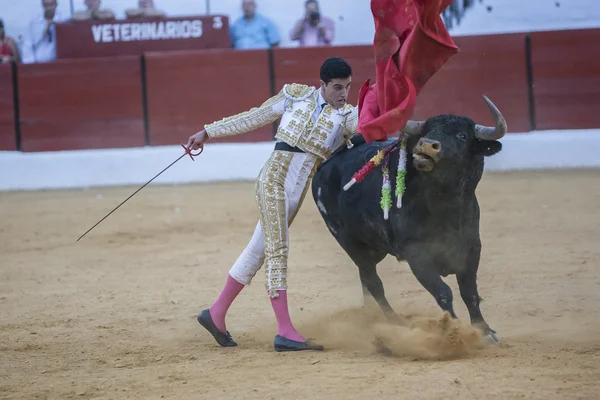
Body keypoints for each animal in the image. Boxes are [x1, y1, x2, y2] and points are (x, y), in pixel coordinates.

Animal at [312, 96, 508, 344]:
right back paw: (394, 322)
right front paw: (453, 330)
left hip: (372, 247)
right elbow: (444, 292)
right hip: (349, 241)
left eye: (462, 136)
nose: (426, 144)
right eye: (428, 130)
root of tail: (327, 161)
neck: (445, 204)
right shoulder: (416, 252)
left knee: (365, 280)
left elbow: (469, 292)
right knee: (373, 282)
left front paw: (485, 331)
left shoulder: (472, 247)